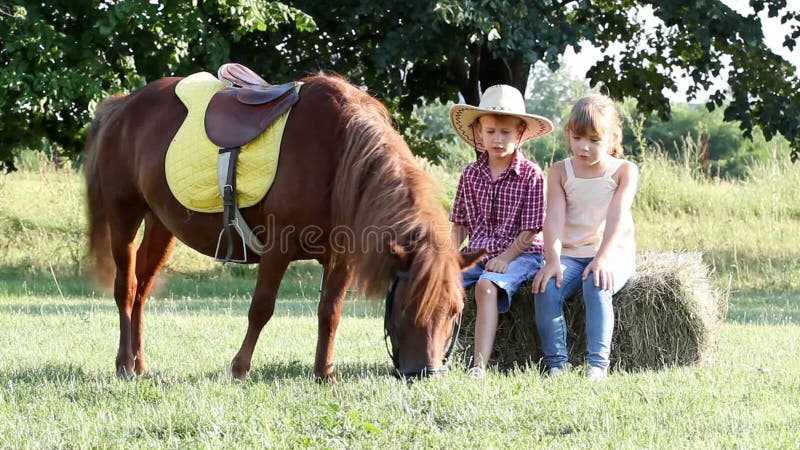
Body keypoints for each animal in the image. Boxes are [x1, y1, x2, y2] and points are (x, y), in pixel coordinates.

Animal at [85, 74, 482, 380]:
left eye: (455, 311)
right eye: (405, 306)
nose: (427, 373)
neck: (338, 154)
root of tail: (124, 105)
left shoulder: (341, 259)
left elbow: (330, 312)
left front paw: (324, 372)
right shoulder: (278, 247)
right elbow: (261, 308)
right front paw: (239, 369)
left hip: (161, 223)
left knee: (142, 289)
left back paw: (140, 364)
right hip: (124, 215)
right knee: (126, 288)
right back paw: (124, 364)